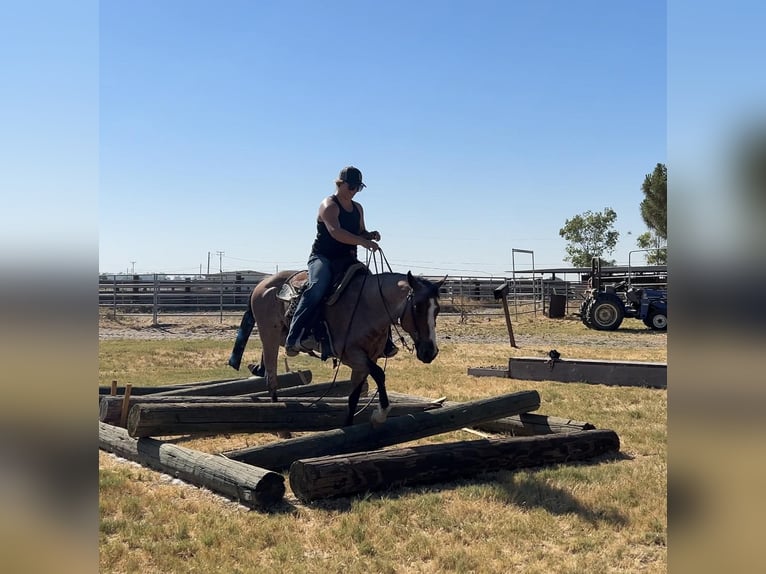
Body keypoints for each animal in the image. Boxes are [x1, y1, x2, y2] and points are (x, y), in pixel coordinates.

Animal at [226, 270, 444, 428]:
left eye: (437, 309)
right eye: (416, 307)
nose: (430, 352)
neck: (368, 306)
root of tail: (262, 284)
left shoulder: (367, 358)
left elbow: (353, 397)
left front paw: (349, 425)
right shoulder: (351, 354)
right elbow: (379, 374)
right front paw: (380, 414)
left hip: (278, 335)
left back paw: (259, 368)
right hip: (268, 333)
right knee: (272, 377)